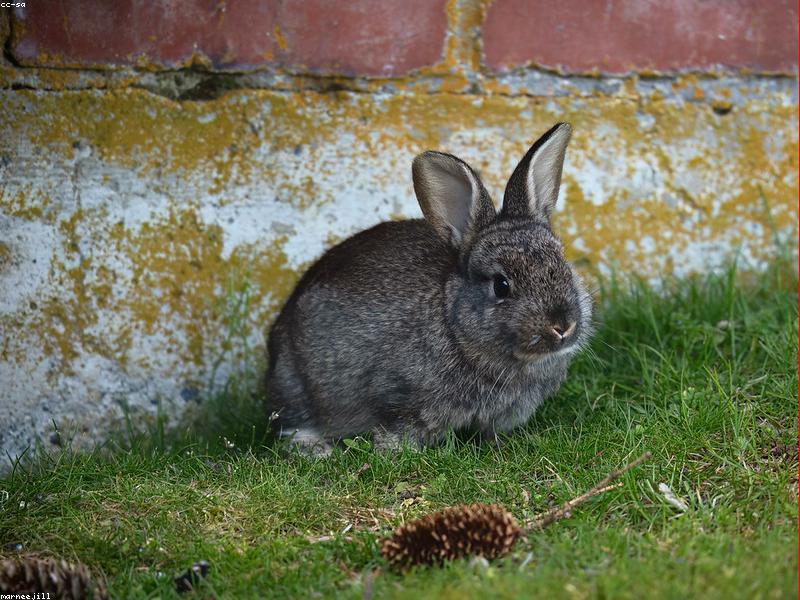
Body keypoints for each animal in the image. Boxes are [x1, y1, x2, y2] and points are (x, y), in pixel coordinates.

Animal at [265, 122, 592, 455]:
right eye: (501, 285)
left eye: (563, 265)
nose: (562, 326)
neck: (457, 329)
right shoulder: (402, 400)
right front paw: (393, 451)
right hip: (296, 384)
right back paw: (316, 449)